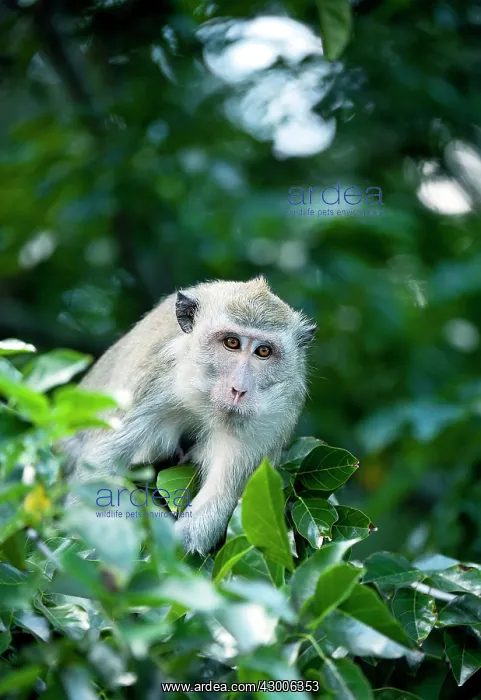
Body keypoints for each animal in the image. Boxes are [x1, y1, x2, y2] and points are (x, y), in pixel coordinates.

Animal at [63, 277, 316, 555]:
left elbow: (218, 502)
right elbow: (97, 470)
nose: (238, 390)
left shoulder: (272, 419)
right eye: (232, 343)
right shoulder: (154, 378)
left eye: (263, 352)